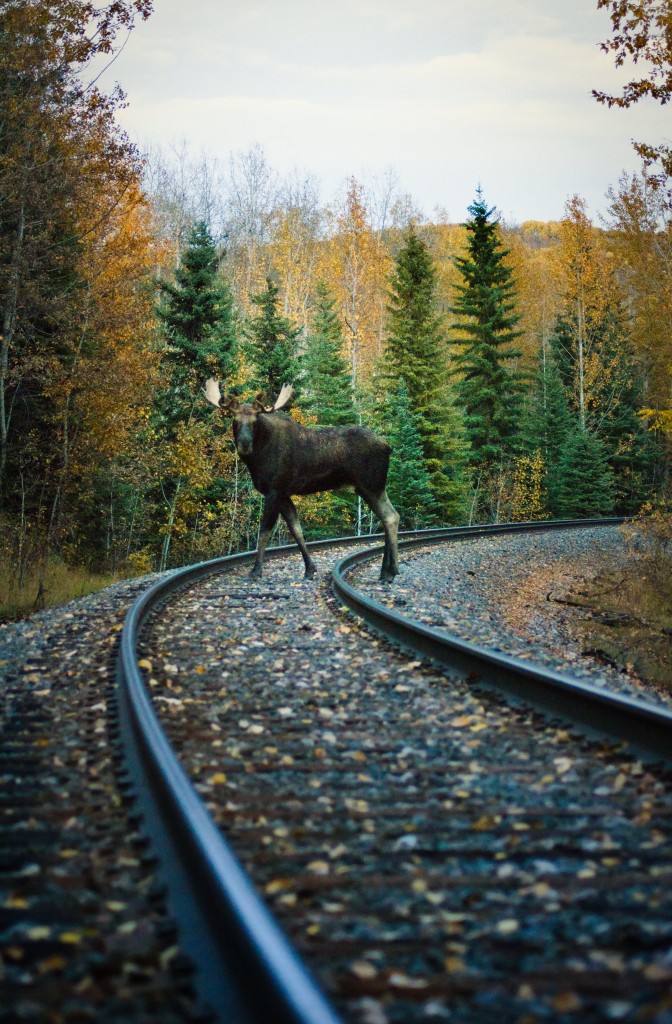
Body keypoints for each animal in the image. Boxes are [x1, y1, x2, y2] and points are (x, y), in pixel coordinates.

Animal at [203, 379, 400, 582]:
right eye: (234, 420)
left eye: (255, 421)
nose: (244, 444)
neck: (257, 459)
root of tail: (388, 447)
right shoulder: (283, 494)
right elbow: (296, 529)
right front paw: (310, 569)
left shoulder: (274, 490)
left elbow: (265, 531)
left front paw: (256, 570)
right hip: (371, 487)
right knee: (388, 517)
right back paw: (385, 571)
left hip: (371, 485)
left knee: (391, 516)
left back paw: (391, 571)